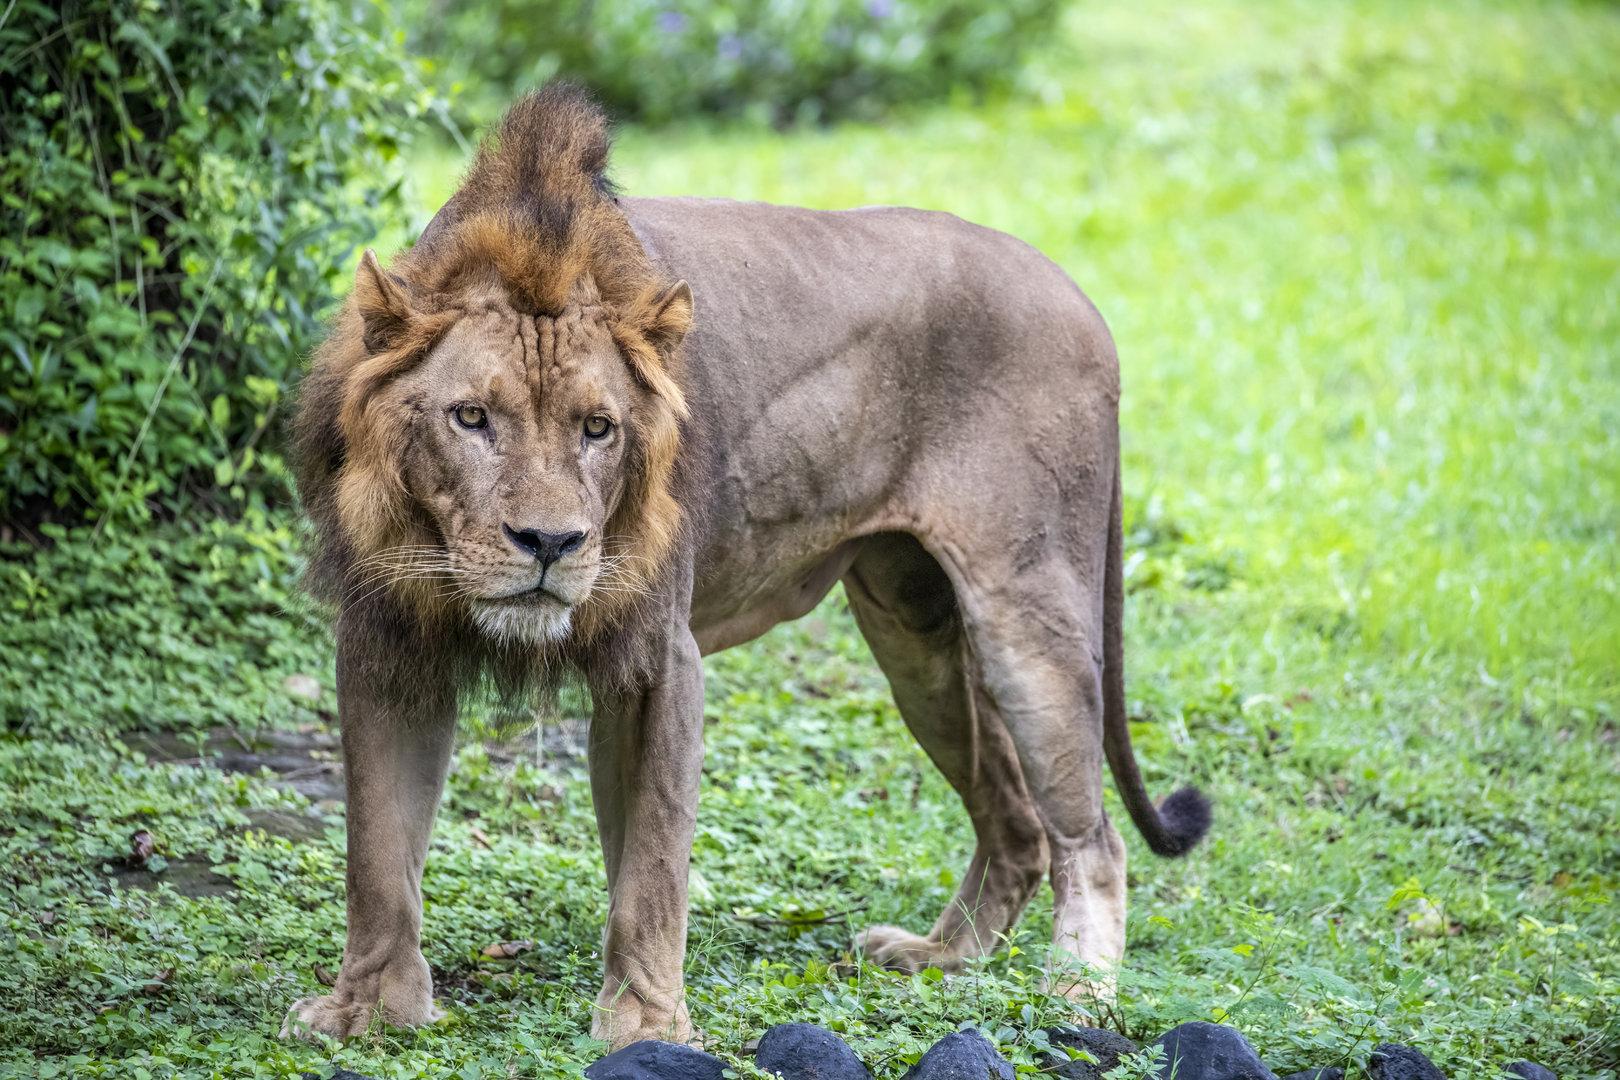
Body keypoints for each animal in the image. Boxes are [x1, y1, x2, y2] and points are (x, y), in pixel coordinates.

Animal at [284, 83, 1210, 1049]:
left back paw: (1076, 995)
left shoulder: (660, 656)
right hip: (913, 632)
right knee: (1017, 822)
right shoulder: (387, 644)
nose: (550, 544)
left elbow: (652, 870)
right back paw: (943, 958)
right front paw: (365, 1010)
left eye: (598, 428)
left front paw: (645, 1026)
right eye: (470, 417)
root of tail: (1079, 293)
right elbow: (377, 853)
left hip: (1024, 616)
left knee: (1091, 839)